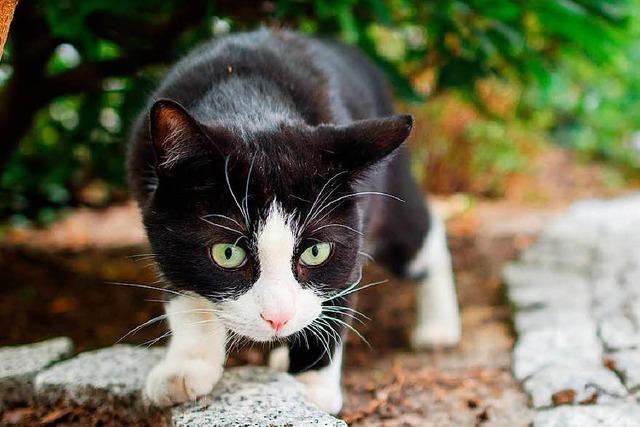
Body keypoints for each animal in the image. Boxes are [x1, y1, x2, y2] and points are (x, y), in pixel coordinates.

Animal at [126, 29, 460, 414]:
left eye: (316, 252)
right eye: (227, 254)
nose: (278, 319)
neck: (249, 103)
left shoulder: (357, 223)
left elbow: (336, 293)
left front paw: (310, 386)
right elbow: (182, 285)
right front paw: (186, 366)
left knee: (422, 232)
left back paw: (439, 327)